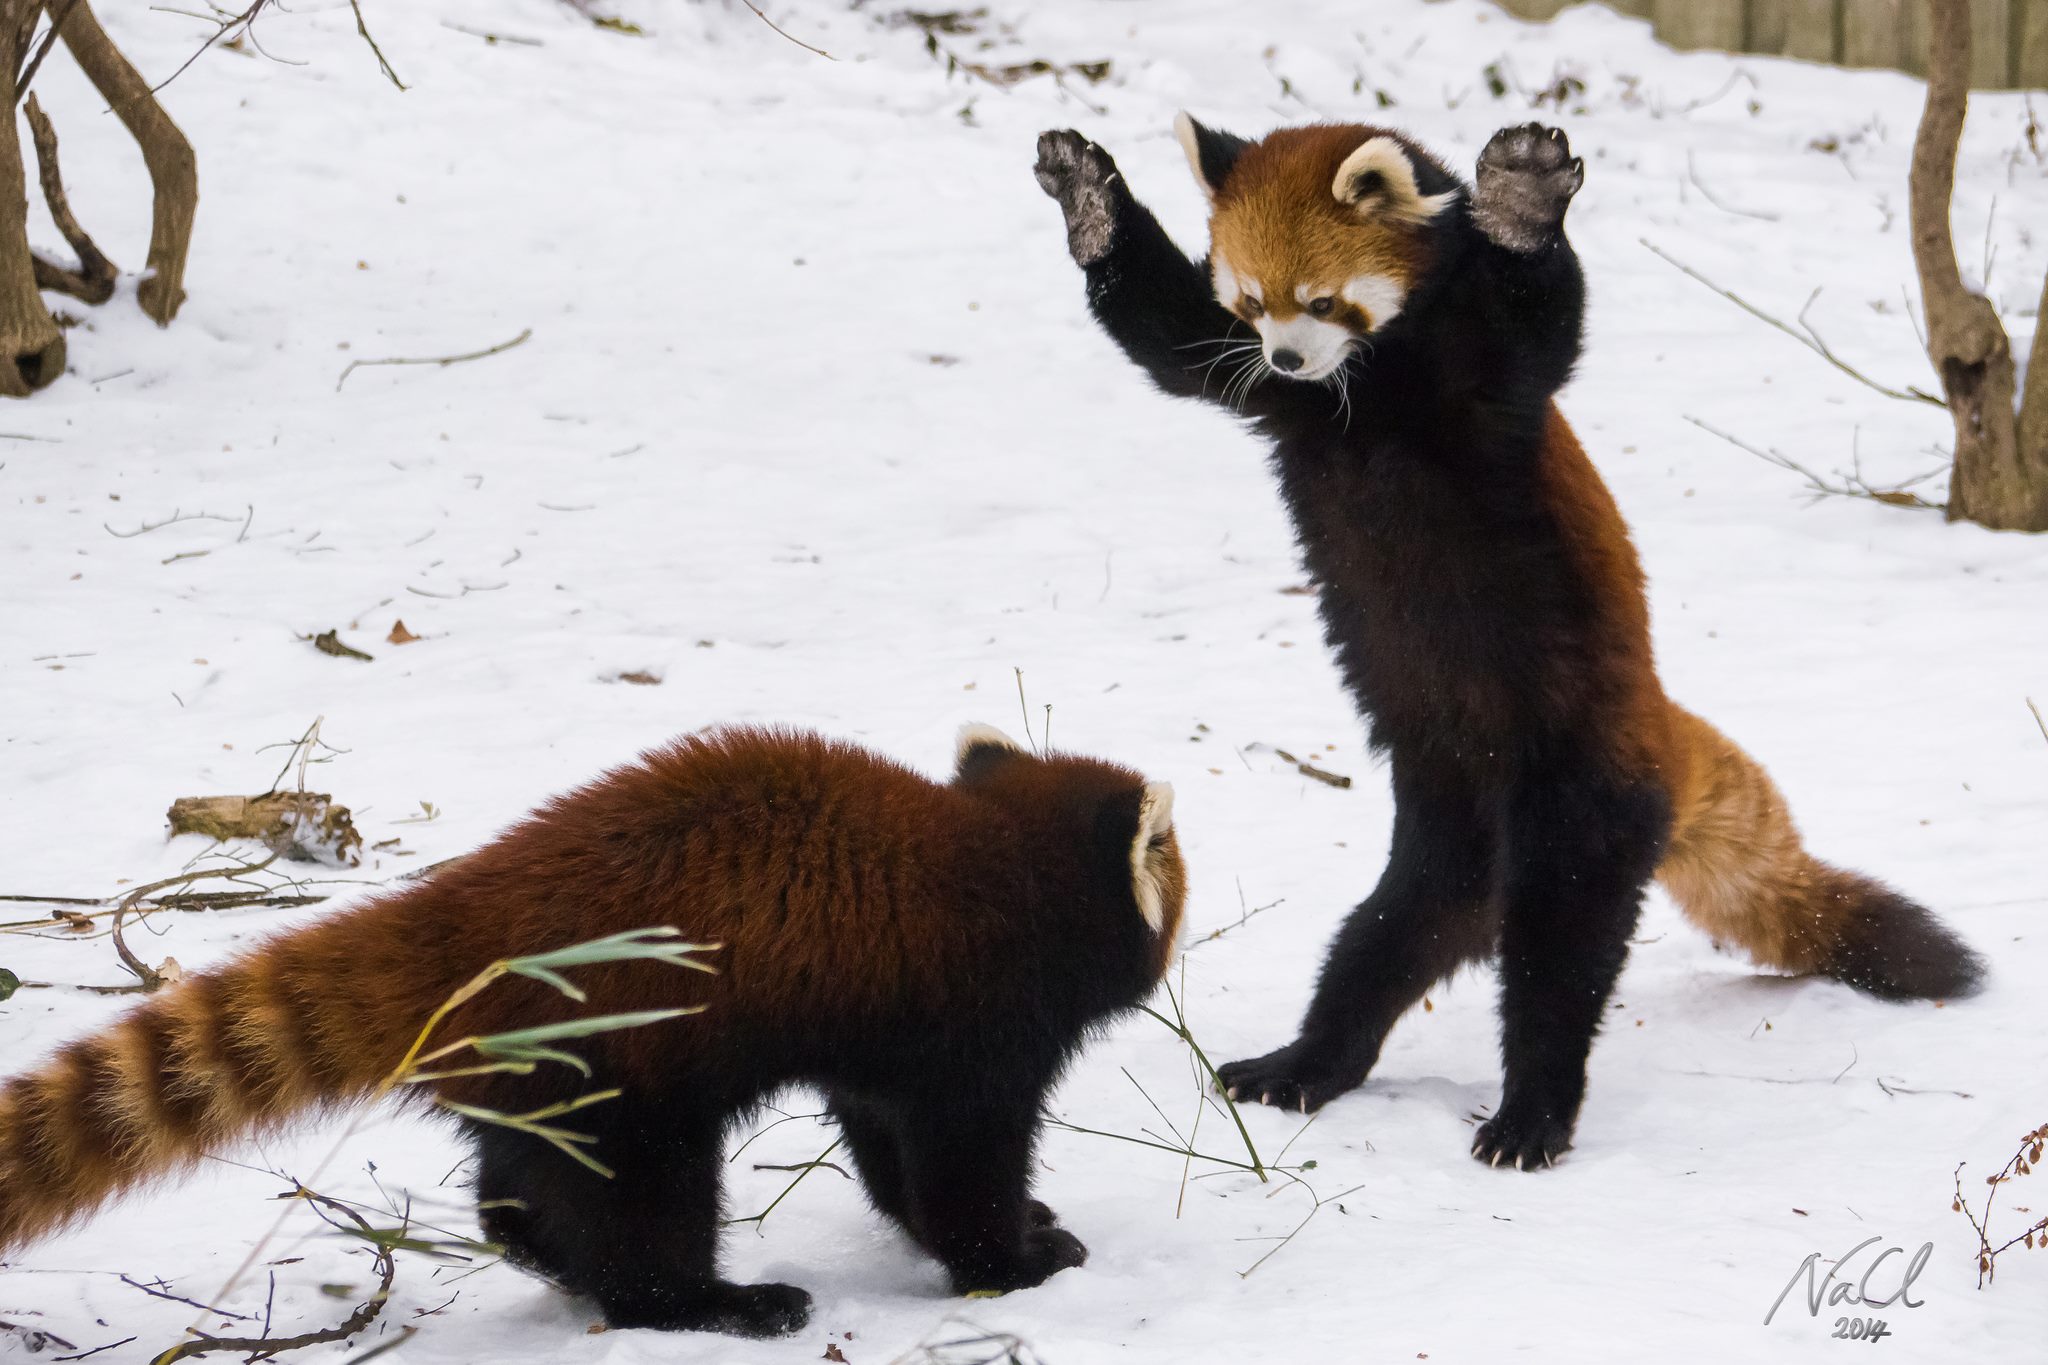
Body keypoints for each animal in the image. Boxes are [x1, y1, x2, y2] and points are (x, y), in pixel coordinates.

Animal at [0, 724, 1187, 1334]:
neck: (997, 866)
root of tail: (465, 913)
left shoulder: (883, 1035)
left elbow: (891, 1154)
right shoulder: (972, 1022)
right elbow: (954, 1175)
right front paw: (1019, 1259)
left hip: (543, 1068)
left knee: (528, 1175)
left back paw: (540, 1248)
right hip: (627, 1060)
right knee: (645, 1206)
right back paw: (717, 1302)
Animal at [1040, 117, 1982, 1170]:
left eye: (1322, 301)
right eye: (1250, 301)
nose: (1284, 359)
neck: (1366, 389)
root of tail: (1661, 729)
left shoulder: (1488, 379)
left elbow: (1544, 315)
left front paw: (1524, 201)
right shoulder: (1265, 391)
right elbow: (1170, 338)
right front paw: (1089, 198)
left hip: (1581, 794)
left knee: (1557, 959)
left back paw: (1530, 1112)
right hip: (1446, 832)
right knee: (1381, 940)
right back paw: (1304, 1063)